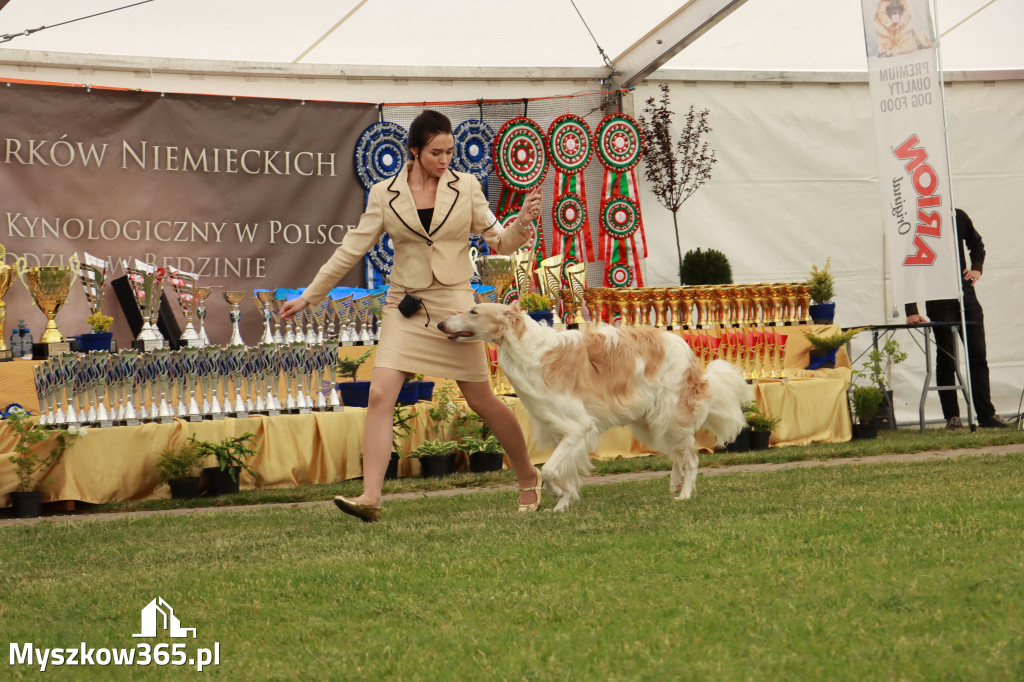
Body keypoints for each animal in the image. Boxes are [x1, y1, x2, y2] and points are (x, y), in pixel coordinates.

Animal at [434, 303, 753, 509]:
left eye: (473, 312)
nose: (439, 324)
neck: (530, 350)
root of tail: (687, 350)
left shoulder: (579, 427)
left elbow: (549, 471)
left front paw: (557, 496)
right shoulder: (561, 431)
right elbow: (561, 471)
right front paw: (563, 501)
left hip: (670, 416)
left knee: (691, 456)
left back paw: (685, 494)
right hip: (650, 422)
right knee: (677, 454)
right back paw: (675, 484)